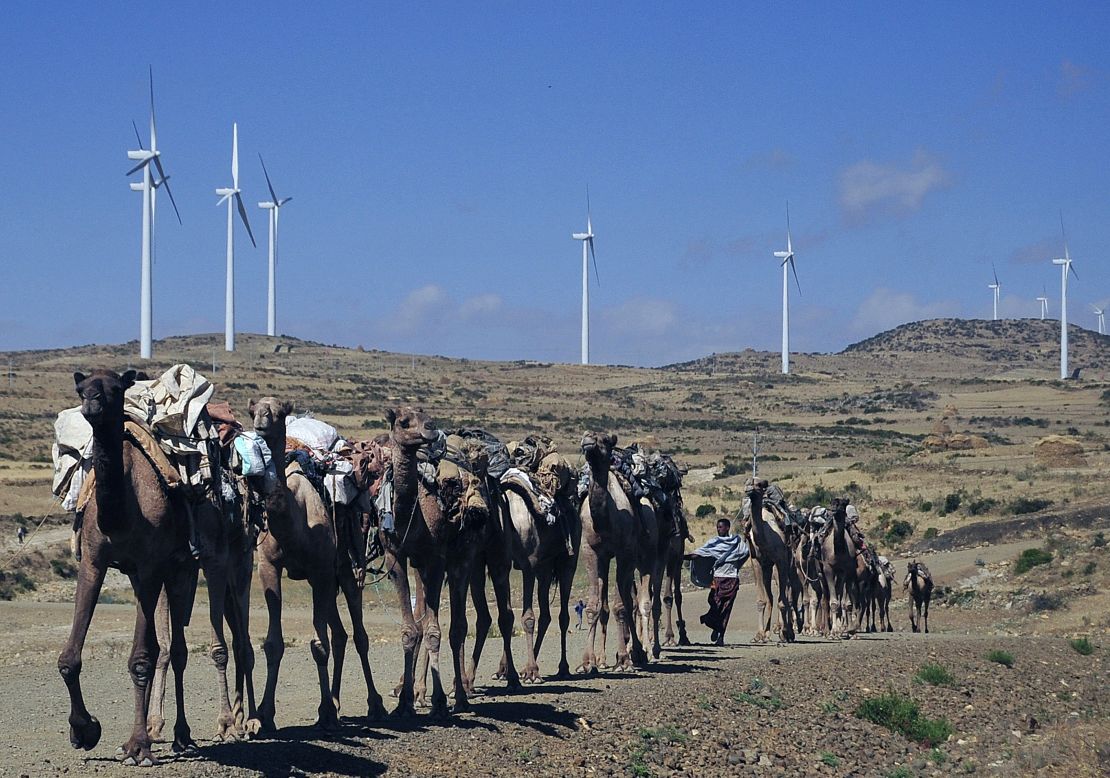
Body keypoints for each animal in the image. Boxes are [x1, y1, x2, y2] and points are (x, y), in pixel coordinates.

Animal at [58, 370, 198, 763]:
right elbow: (69, 658)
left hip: (180, 571)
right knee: (157, 645)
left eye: (115, 389)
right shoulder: (94, 562)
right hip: (142, 578)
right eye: (82, 388)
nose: (91, 403)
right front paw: (84, 731)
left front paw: (139, 746)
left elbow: (140, 660)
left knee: (176, 651)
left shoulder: (149, 566)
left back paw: (180, 735)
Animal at [246, 397, 386, 732]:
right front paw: (264, 716)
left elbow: (318, 645)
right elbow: (274, 643)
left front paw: (324, 712)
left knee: (358, 635)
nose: (260, 424)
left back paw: (374, 704)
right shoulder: (269, 567)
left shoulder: (320, 570)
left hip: (345, 571)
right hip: (327, 581)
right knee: (340, 635)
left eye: (278, 412)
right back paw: (336, 702)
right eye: (253, 409)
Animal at [577, 430, 652, 674]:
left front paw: (624, 660)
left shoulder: (624, 551)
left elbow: (621, 606)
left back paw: (640, 653)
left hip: (645, 556)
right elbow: (593, 607)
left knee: (636, 601)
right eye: (586, 434)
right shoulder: (590, 551)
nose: (587, 440)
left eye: (605, 440)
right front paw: (587, 663)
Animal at [745, 479, 799, 643]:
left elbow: (783, 600)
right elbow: (762, 600)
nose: (748, 490)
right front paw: (759, 635)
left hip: (789, 561)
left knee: (788, 591)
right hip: (768, 567)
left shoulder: (780, 559)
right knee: (770, 596)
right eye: (747, 482)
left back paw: (787, 631)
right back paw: (768, 633)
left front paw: (785, 632)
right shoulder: (757, 562)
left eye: (758, 485)